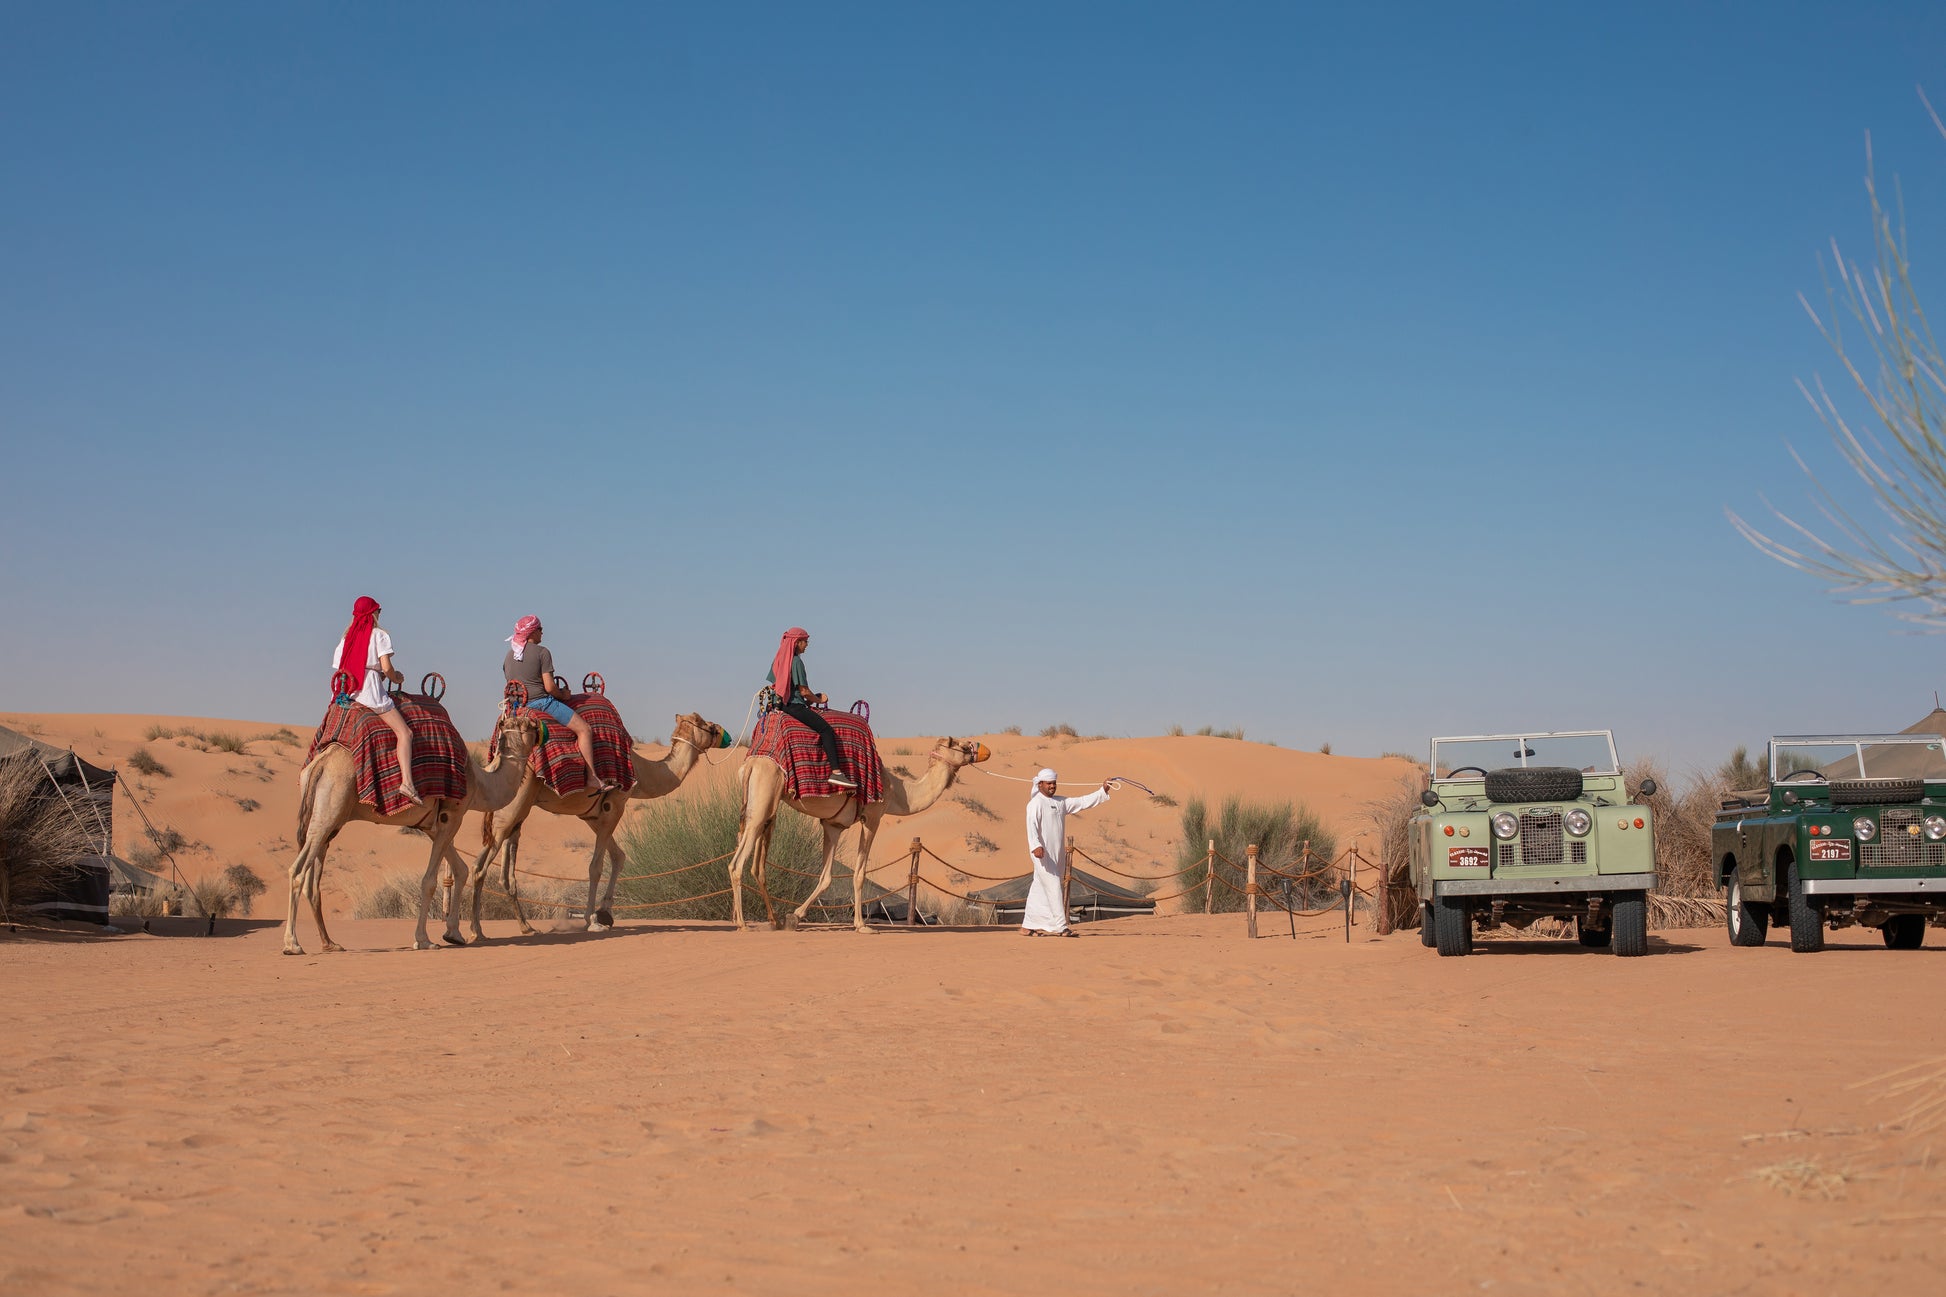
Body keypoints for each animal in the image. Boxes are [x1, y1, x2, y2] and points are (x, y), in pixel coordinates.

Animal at [280, 701, 548, 954]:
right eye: (528, 725)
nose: (541, 728)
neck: (480, 783)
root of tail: (321, 764)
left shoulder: (432, 825)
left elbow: (460, 870)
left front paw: (454, 934)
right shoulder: (453, 816)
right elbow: (429, 881)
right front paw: (424, 940)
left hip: (326, 817)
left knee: (311, 881)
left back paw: (329, 943)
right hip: (330, 810)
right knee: (298, 870)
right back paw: (292, 944)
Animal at [463, 708, 731, 938]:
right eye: (705, 724)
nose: (722, 731)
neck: (642, 773)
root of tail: (494, 761)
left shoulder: (592, 815)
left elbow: (618, 856)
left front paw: (605, 912)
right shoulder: (615, 805)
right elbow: (596, 866)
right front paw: (592, 919)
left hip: (517, 811)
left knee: (496, 869)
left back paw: (526, 927)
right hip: (511, 808)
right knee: (480, 867)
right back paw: (476, 931)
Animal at [727, 728, 988, 930]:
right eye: (962, 745)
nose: (981, 749)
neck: (897, 792)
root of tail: (751, 764)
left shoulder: (833, 825)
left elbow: (826, 878)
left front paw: (795, 916)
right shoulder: (872, 817)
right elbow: (860, 873)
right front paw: (861, 925)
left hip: (759, 805)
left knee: (750, 858)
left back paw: (764, 920)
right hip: (763, 802)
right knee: (737, 863)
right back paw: (742, 923)